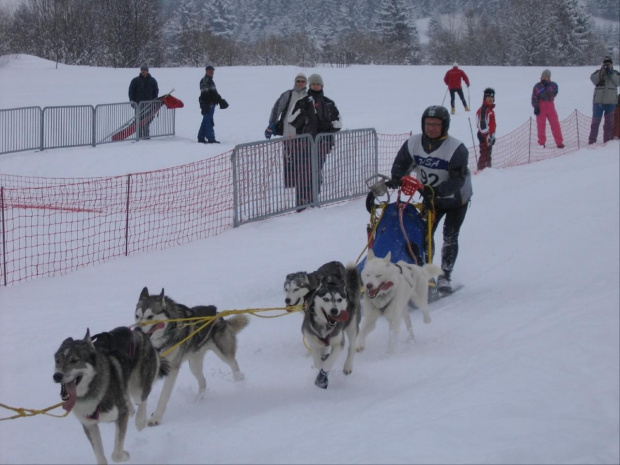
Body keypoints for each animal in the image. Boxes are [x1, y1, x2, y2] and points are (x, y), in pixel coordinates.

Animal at [53, 326, 167, 464]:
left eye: (75, 360)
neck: (91, 391)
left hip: (137, 388)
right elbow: (100, 457)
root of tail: (137, 331)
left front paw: (125, 455)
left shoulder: (120, 416)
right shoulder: (89, 425)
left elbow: (116, 455)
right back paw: (131, 409)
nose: (57, 376)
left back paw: (140, 421)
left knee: (142, 399)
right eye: (57, 361)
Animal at [136, 288, 249, 426]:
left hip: (224, 353)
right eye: (137, 316)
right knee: (203, 382)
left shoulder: (172, 369)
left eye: (150, 317)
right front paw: (140, 418)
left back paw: (239, 380)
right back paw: (198, 400)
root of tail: (219, 315)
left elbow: (163, 397)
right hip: (194, 364)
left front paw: (155, 418)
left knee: (234, 364)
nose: (137, 329)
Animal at [302, 260, 360, 388]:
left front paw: (323, 375)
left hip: (352, 326)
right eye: (326, 299)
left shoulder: (339, 343)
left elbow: (328, 363)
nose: (334, 310)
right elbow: (317, 361)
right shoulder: (313, 341)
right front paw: (320, 366)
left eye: (339, 300)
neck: (325, 326)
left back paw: (348, 366)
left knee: (352, 346)